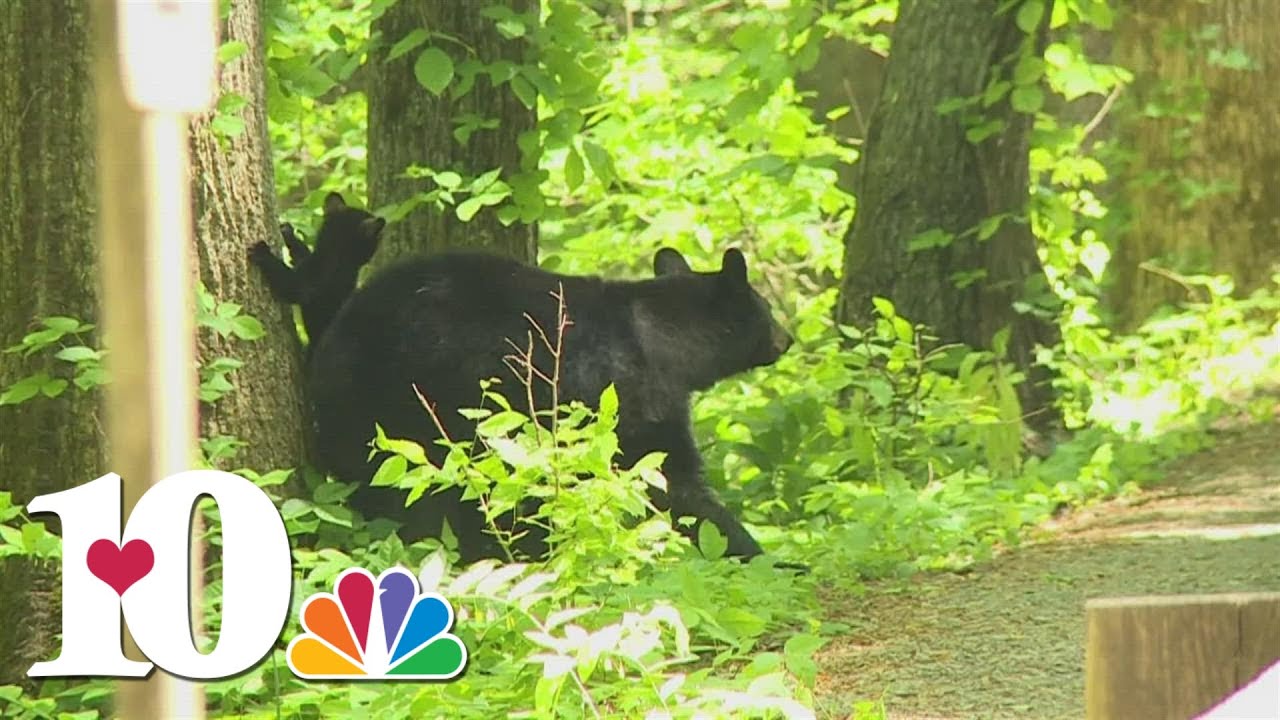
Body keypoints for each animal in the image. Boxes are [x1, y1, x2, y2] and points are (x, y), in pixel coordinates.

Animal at [248, 192, 386, 349]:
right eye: (377, 239)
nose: (382, 235)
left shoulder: (306, 283)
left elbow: (287, 281)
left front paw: (262, 252)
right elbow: (301, 253)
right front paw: (287, 232)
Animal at [307, 246, 793, 564]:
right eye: (767, 308)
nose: (788, 338)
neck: (664, 342)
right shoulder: (630, 399)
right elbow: (673, 481)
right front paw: (760, 553)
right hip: (401, 410)